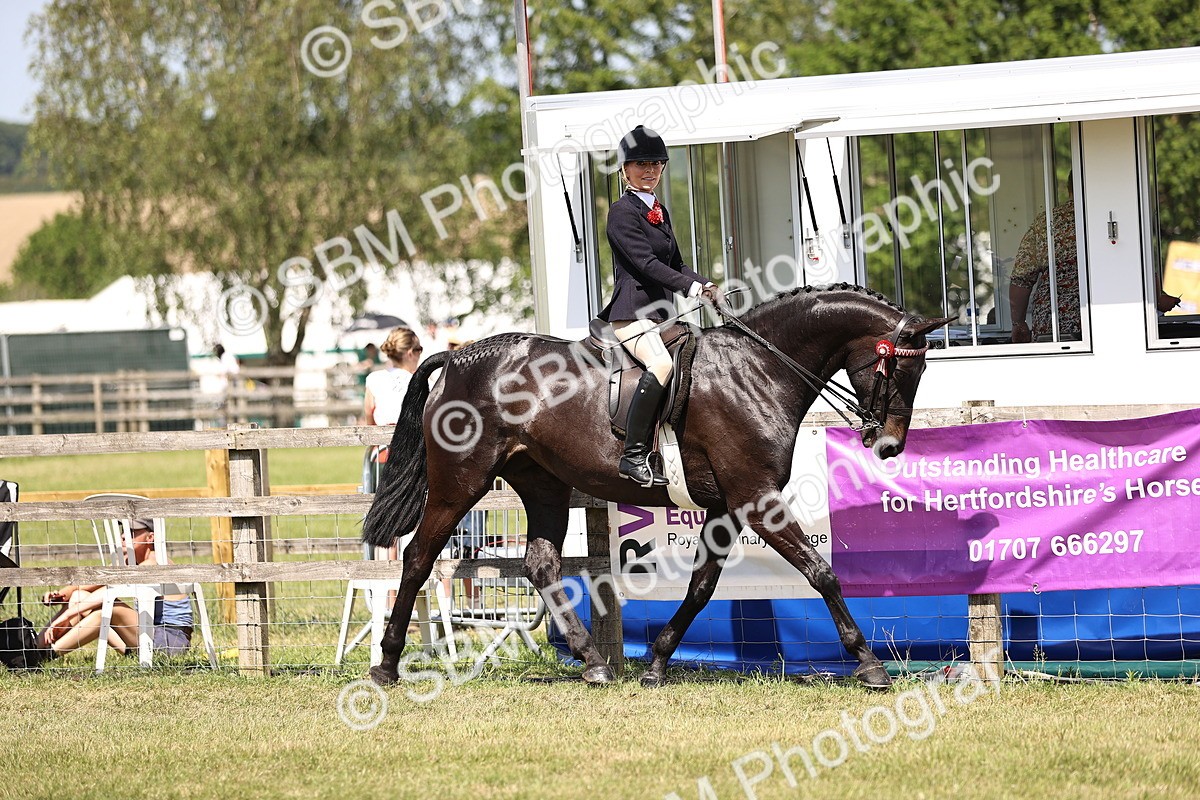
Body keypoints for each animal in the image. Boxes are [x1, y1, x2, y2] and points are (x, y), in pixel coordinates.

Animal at [362, 284, 952, 689]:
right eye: (902, 371)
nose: (888, 446)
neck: (759, 369)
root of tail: (460, 356)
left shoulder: (726, 507)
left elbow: (701, 587)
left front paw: (658, 660)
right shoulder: (756, 499)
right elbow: (820, 572)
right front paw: (870, 663)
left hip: (544, 484)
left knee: (541, 565)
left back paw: (594, 663)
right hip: (458, 484)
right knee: (417, 558)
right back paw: (387, 665)